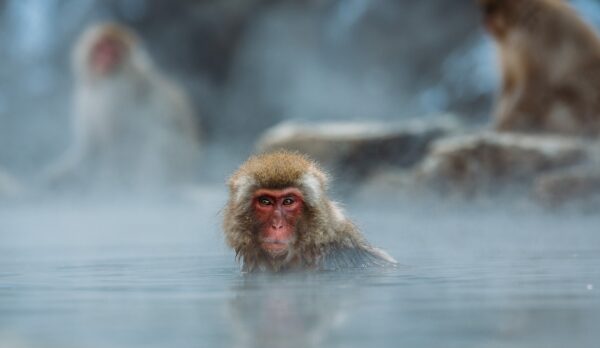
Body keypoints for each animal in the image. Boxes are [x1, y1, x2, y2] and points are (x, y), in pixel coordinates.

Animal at [47, 23, 202, 193]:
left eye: (114, 51)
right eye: (100, 47)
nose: (105, 59)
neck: (101, 84)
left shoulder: (117, 95)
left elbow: (120, 143)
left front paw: (107, 183)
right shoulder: (83, 99)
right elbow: (90, 148)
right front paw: (56, 175)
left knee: (157, 141)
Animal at [480, 0, 600, 136]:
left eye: (492, 8)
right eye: (486, 9)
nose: (485, 20)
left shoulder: (536, 40)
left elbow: (535, 85)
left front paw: (504, 124)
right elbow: (510, 82)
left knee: (568, 88)